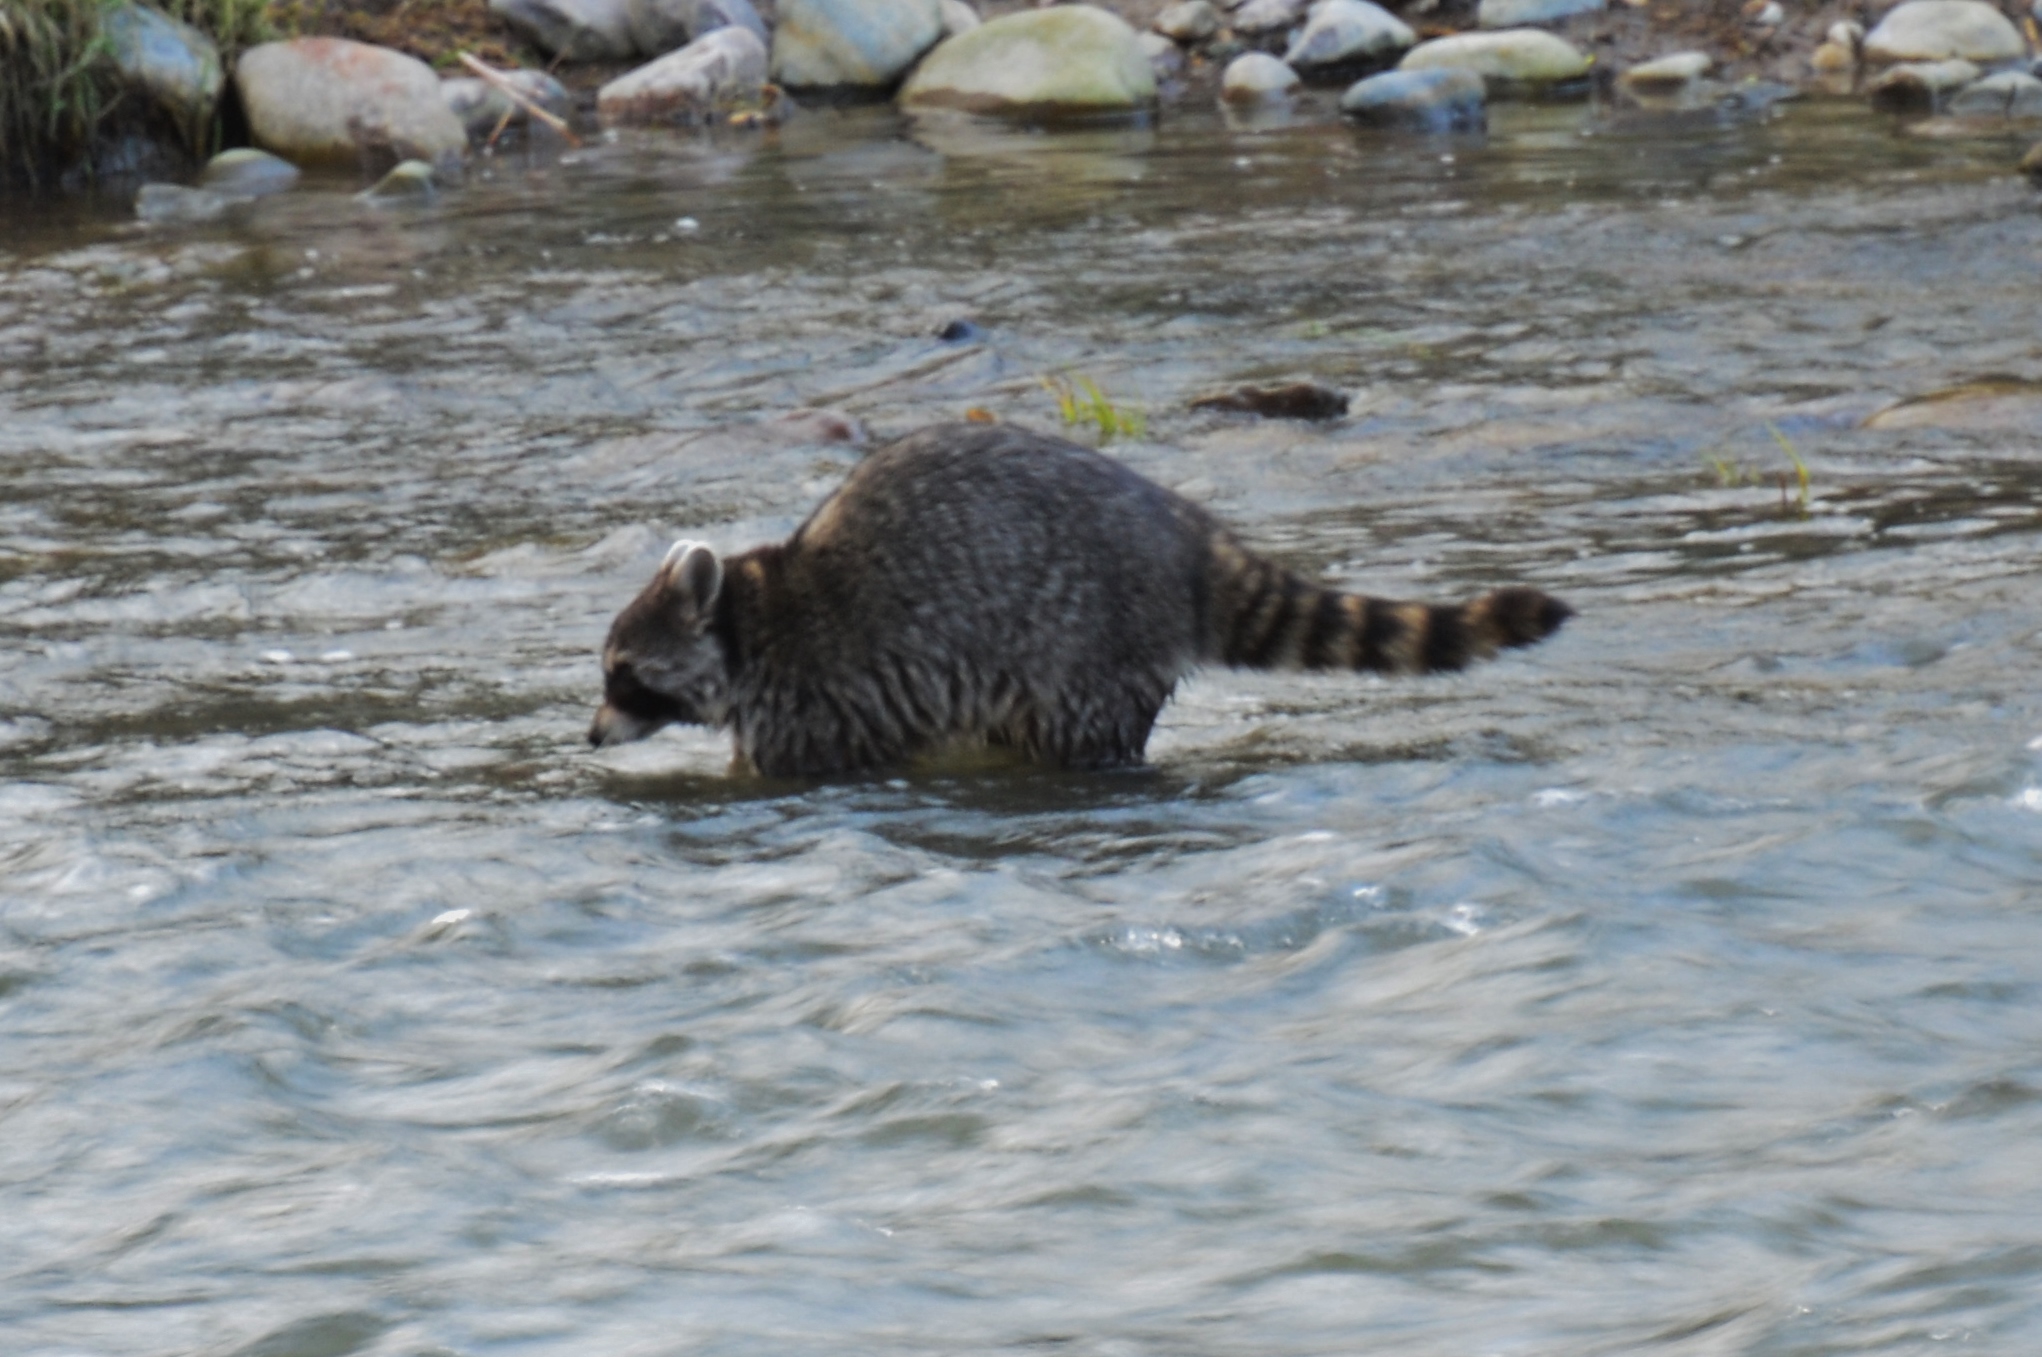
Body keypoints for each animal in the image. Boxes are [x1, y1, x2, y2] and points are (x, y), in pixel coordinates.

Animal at [596, 424, 1576, 783]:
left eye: (622, 673)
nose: (591, 735)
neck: (748, 618)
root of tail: (1186, 539)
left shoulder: (816, 700)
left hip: (1086, 645)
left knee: (1073, 733)